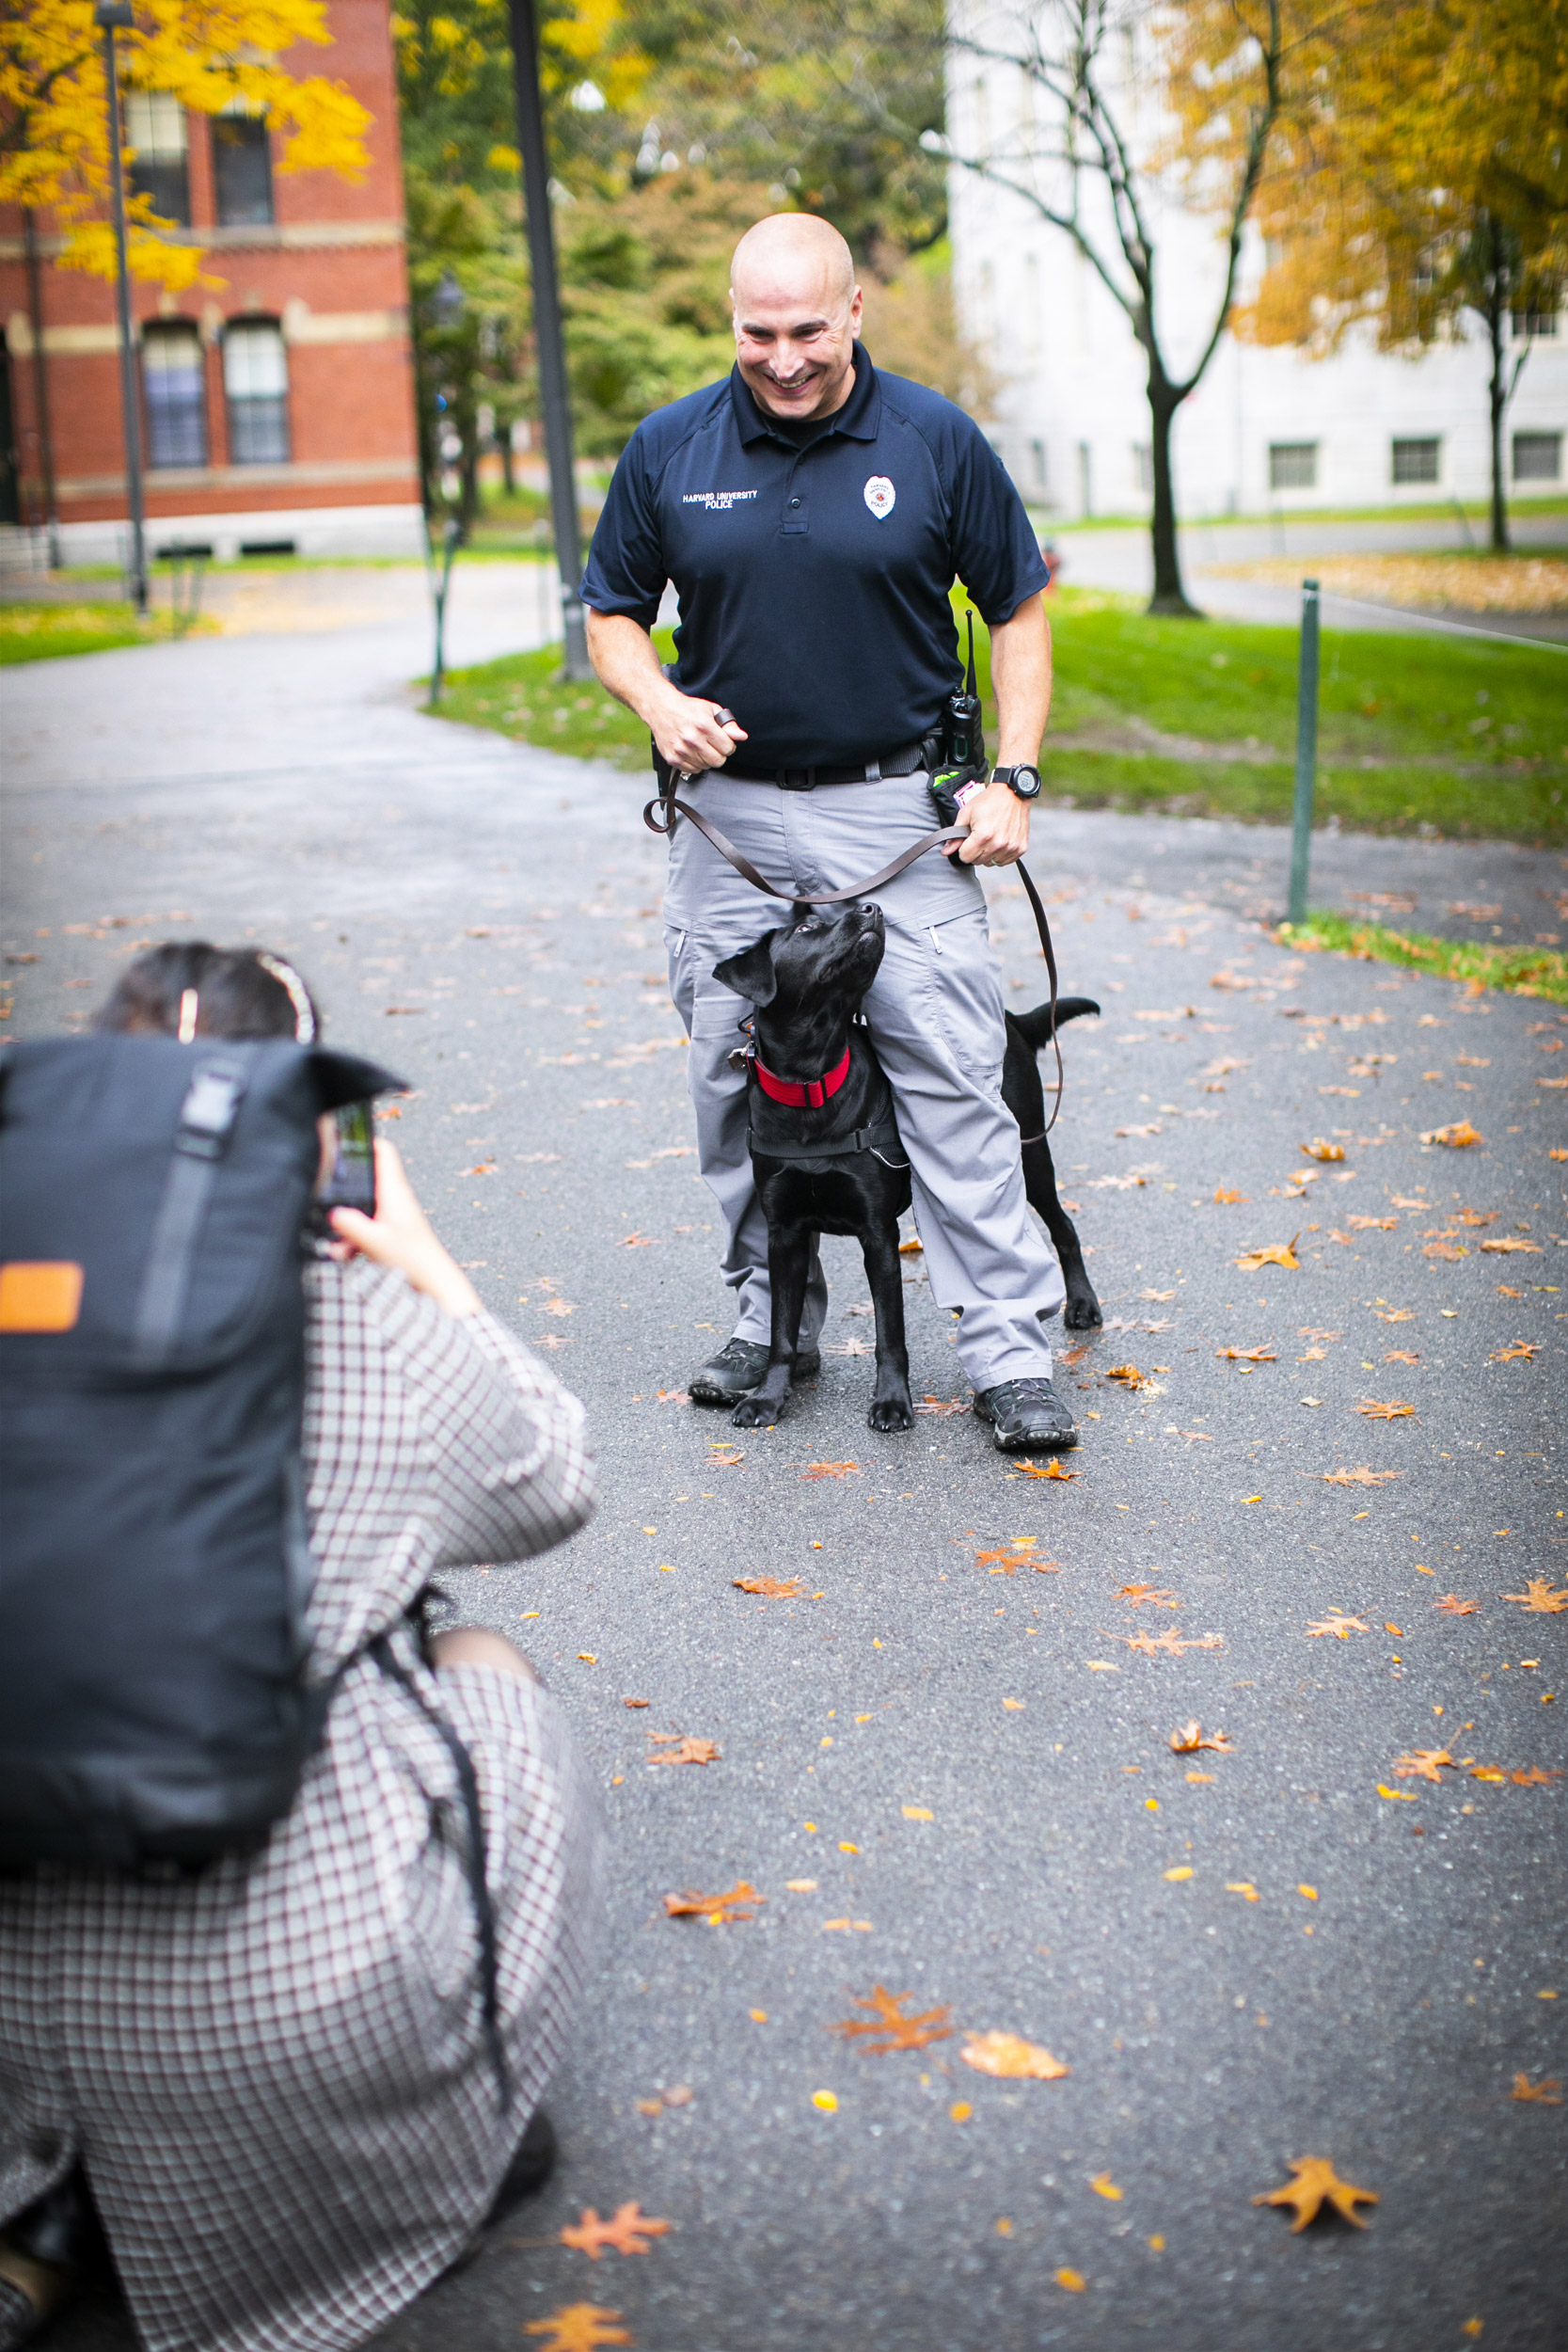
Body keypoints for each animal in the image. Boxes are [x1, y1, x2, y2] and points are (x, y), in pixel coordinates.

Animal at [714, 898, 1100, 1430]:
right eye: (807, 928)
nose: (870, 906)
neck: (812, 1085)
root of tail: (1012, 1021)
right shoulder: (784, 1234)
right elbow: (781, 1333)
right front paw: (768, 1398)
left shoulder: (879, 1234)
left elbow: (889, 1332)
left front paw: (893, 1402)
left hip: (1029, 1152)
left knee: (1063, 1227)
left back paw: (1082, 1304)